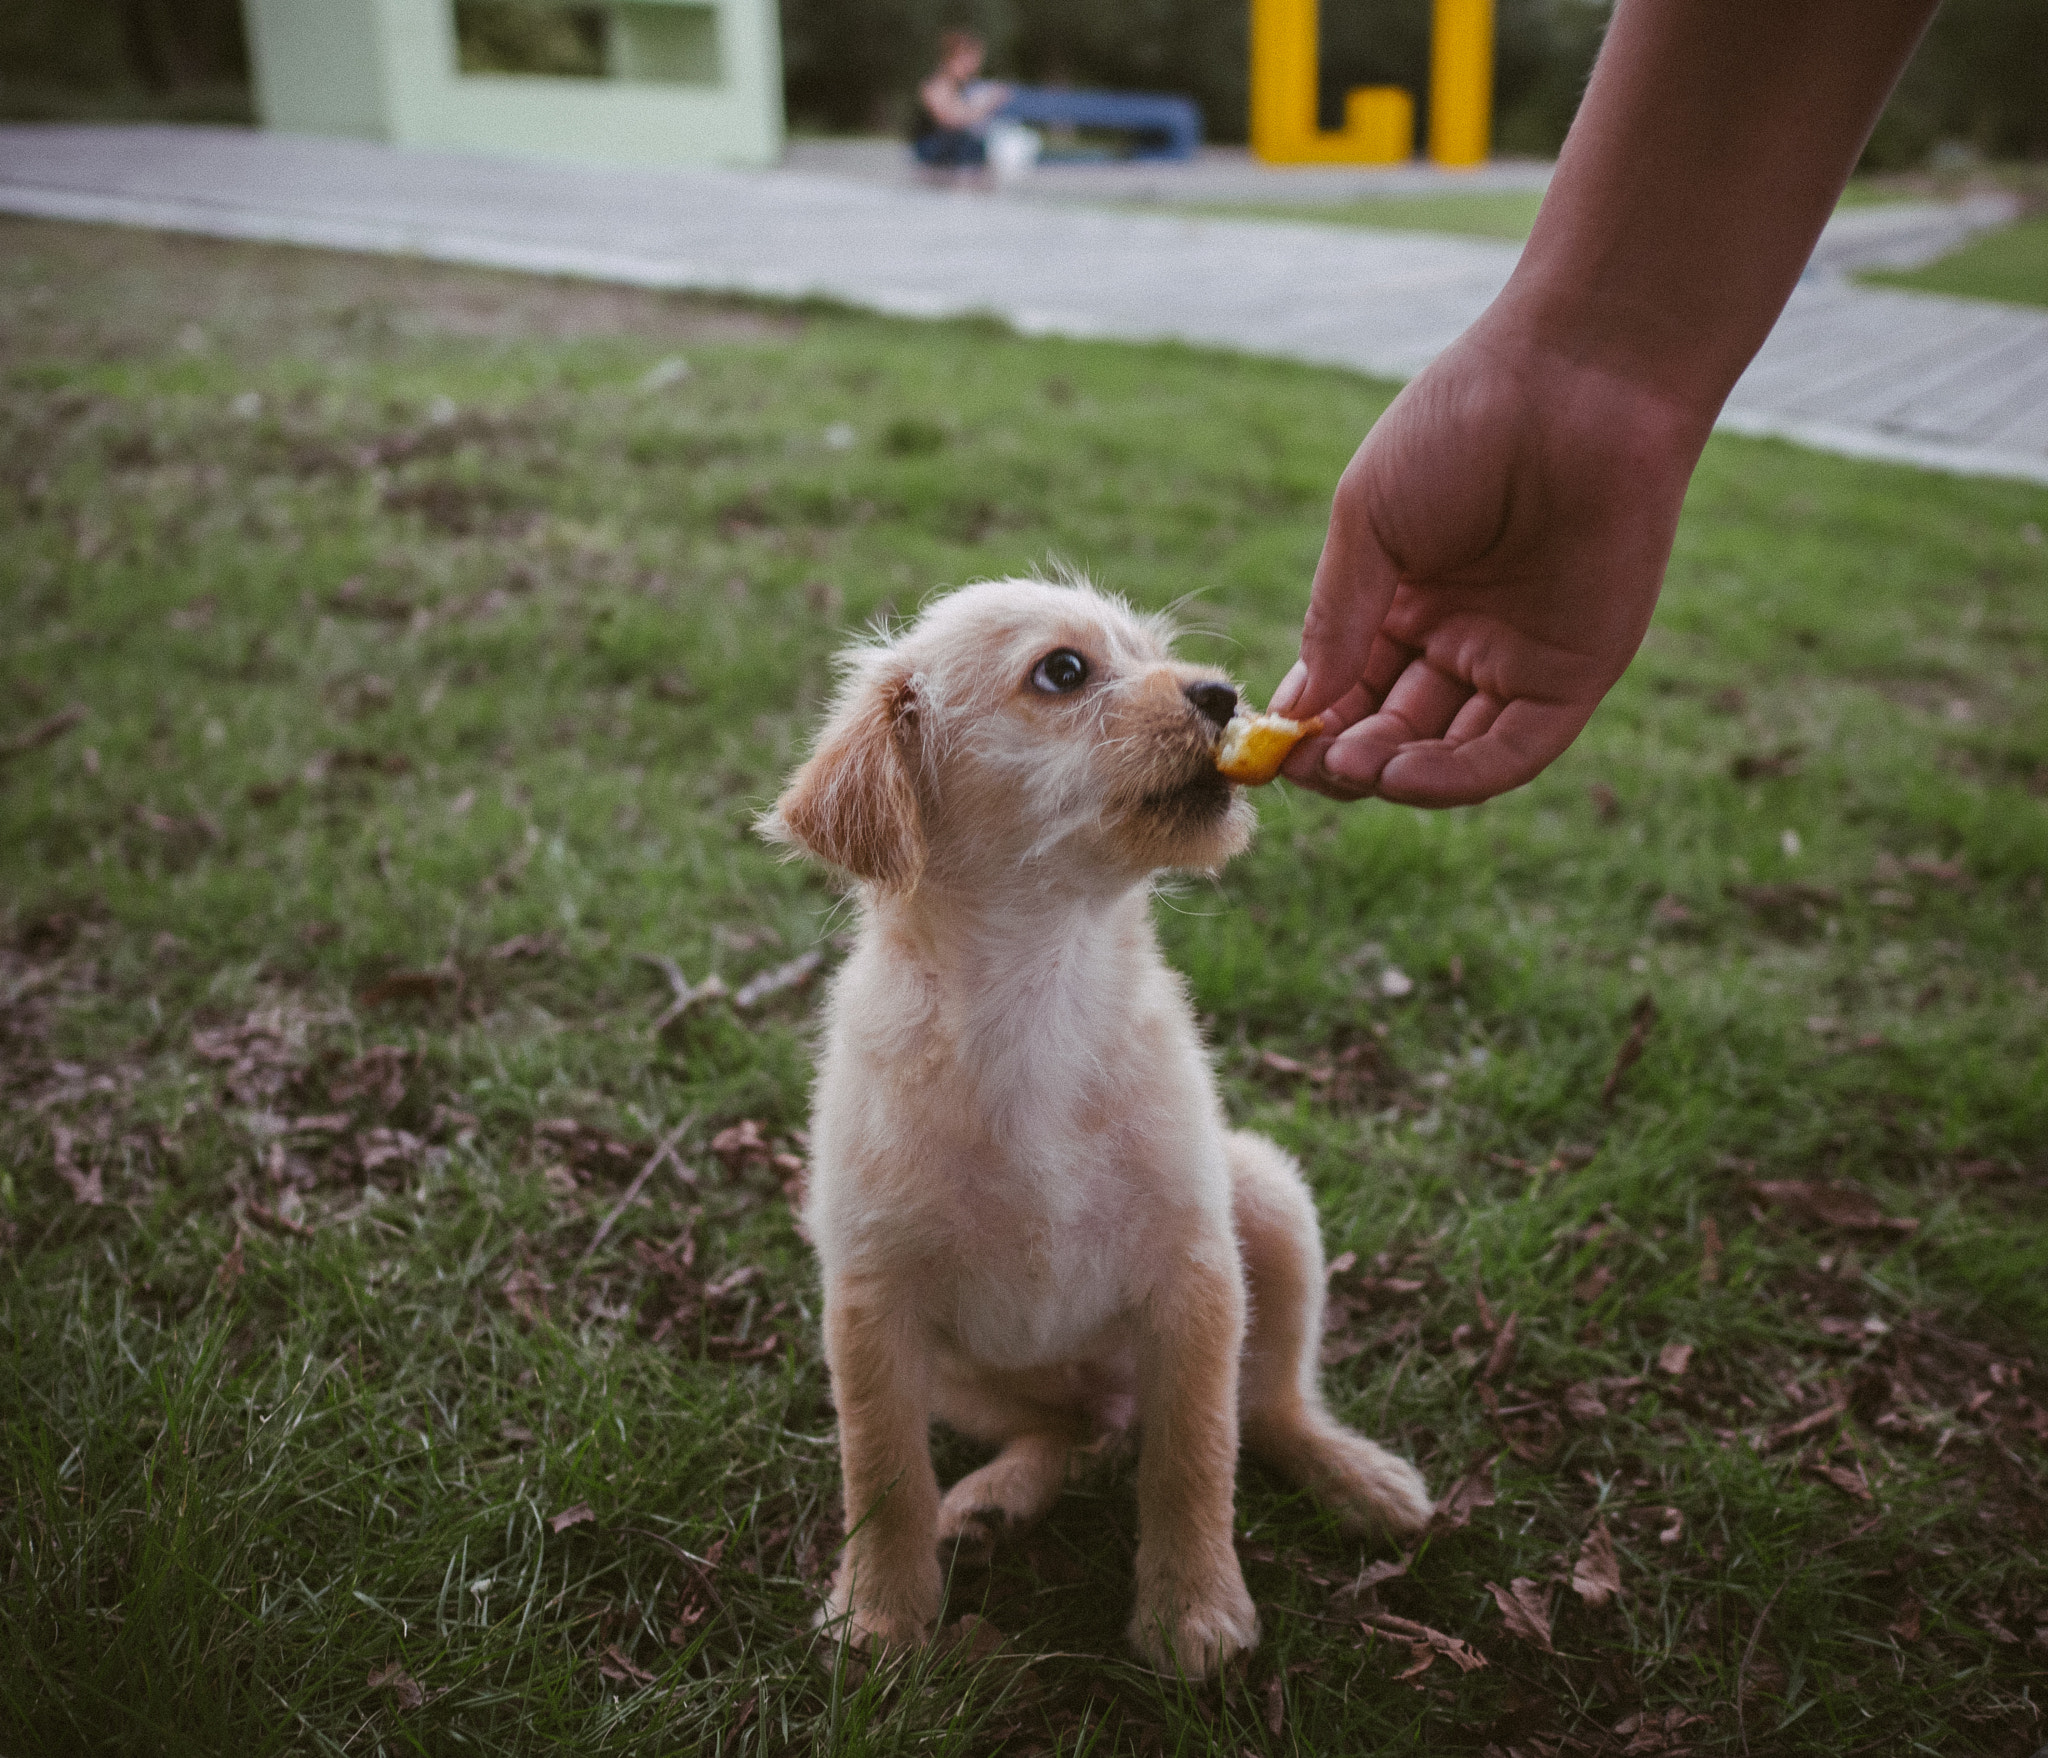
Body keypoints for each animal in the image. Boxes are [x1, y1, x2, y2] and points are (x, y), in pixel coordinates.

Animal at [761, 573, 1433, 1671]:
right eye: (1063, 670)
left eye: (1155, 654)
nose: (1220, 693)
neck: (1042, 986)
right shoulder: (871, 1301)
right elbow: (883, 1472)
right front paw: (880, 1612)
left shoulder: (1195, 1273)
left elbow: (1196, 1455)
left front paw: (1193, 1609)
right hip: (966, 1375)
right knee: (1073, 1436)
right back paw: (994, 1496)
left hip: (1268, 1203)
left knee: (1266, 1405)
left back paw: (1352, 1474)